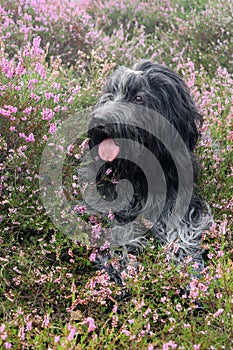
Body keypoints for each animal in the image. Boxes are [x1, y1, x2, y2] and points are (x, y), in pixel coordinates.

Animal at [82, 59, 213, 284]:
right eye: (110, 94)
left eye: (138, 98)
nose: (99, 121)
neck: (139, 173)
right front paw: (121, 264)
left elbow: (180, 228)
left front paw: (186, 267)